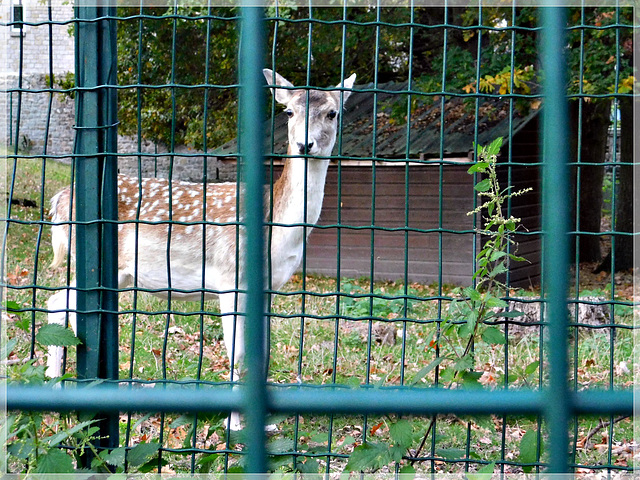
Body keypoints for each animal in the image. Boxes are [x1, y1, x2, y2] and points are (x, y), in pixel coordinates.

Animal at [45, 68, 356, 432]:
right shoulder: (230, 278)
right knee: (57, 302)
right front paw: (233, 424)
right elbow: (237, 351)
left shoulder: (269, 288)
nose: (304, 143)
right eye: (289, 112)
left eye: (332, 113)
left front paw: (265, 424)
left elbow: (263, 351)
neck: (277, 228)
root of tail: (58, 200)